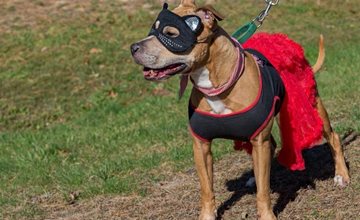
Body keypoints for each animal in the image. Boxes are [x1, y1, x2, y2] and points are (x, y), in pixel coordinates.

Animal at [131, 0, 350, 219]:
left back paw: (342, 175)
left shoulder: (258, 138)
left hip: (313, 104)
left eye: (170, 33)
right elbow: (206, 188)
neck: (218, 84)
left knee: (333, 137)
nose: (133, 47)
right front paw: (207, 215)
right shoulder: (201, 145)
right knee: (270, 148)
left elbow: (263, 191)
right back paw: (254, 177)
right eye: (152, 29)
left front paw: (267, 215)